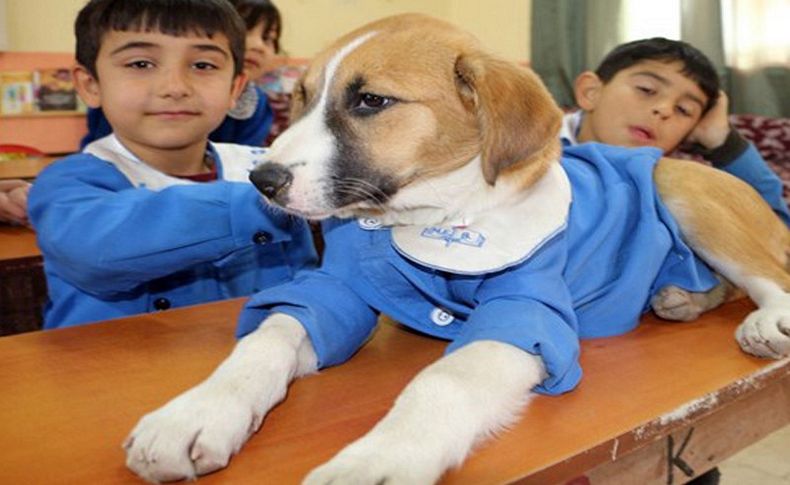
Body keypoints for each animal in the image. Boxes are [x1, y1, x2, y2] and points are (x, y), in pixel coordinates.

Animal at [124, 13, 790, 482]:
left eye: (371, 101)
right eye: (302, 96)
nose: (262, 183)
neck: (421, 217)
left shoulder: (525, 313)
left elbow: (444, 381)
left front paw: (378, 458)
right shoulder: (334, 289)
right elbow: (266, 340)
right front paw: (194, 413)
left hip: (679, 185)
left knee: (768, 276)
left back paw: (763, 323)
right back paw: (680, 297)